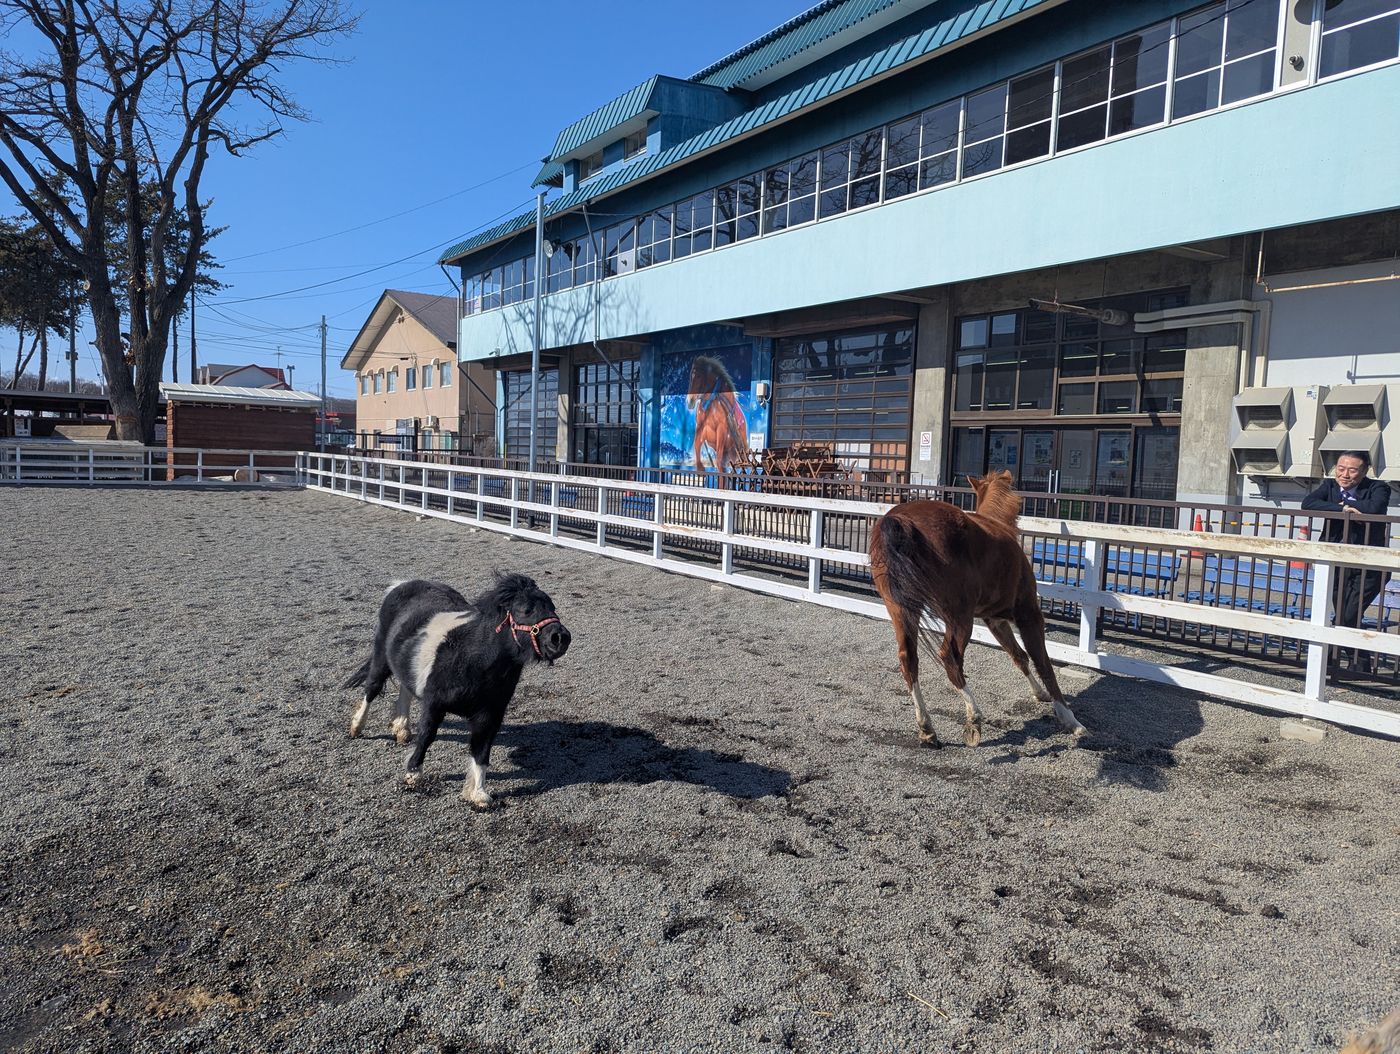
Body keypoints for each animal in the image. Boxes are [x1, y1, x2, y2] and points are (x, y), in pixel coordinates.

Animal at [344, 574, 571, 809]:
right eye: (525, 610)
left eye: (552, 607)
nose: (560, 638)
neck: (471, 658)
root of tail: (400, 584)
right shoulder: (434, 704)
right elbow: (427, 736)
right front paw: (413, 773)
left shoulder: (490, 714)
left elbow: (481, 749)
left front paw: (478, 793)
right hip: (381, 657)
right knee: (371, 689)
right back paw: (357, 727)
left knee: (405, 690)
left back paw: (401, 729)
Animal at [867, 470, 1086, 748]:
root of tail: (900, 519)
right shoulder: (1028, 614)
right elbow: (1043, 663)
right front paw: (1070, 719)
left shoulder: (995, 620)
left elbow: (1019, 656)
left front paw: (1040, 693)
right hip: (959, 617)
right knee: (949, 657)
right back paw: (973, 716)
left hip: (902, 611)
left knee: (909, 660)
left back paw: (927, 728)